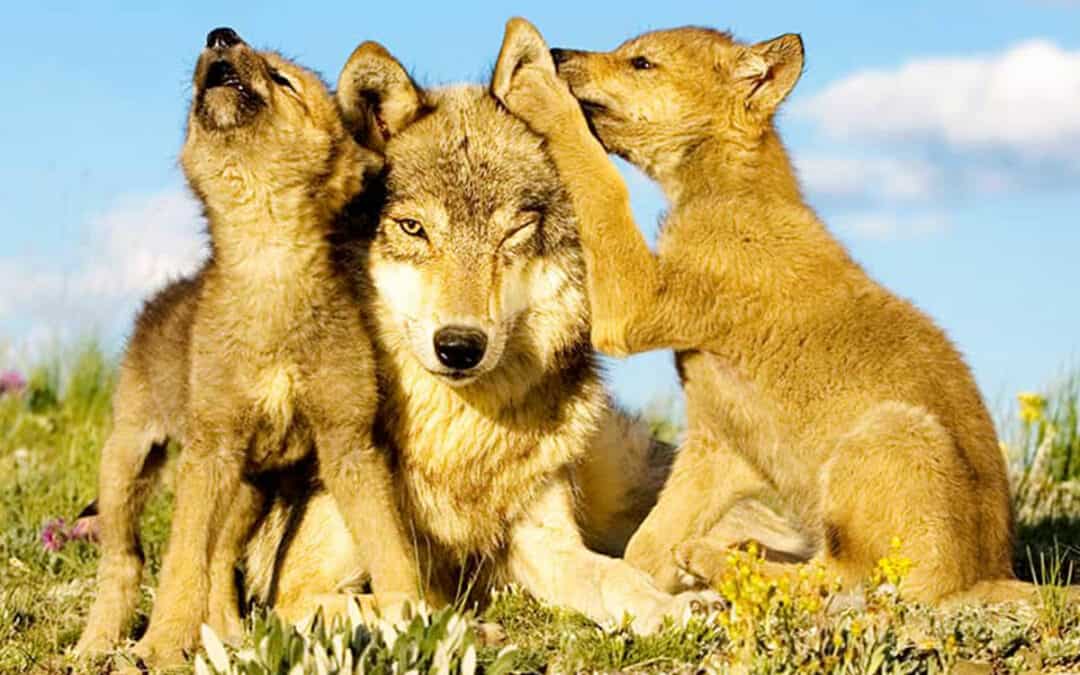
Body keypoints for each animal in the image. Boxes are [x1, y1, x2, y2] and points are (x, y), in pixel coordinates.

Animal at [74, 29, 419, 667]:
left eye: (284, 80)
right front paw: (161, 647)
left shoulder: (349, 446)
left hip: (248, 489)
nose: (220, 34)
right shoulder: (209, 449)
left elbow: (390, 552)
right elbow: (180, 563)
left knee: (216, 561)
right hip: (129, 461)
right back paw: (97, 645)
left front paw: (416, 620)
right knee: (126, 560)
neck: (269, 262)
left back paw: (228, 636)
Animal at [242, 40, 730, 634]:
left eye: (514, 231)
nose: (459, 345)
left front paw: (671, 608)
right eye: (413, 228)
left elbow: (617, 577)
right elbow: (398, 603)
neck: (459, 442)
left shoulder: (547, 544)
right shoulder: (291, 592)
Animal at [494, 18, 1042, 604]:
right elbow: (646, 546)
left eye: (641, 62)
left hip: (888, 431)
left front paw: (539, 93)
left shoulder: (636, 305)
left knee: (844, 578)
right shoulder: (720, 445)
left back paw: (722, 557)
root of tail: (989, 572)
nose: (557, 52)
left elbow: (601, 183)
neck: (727, 195)